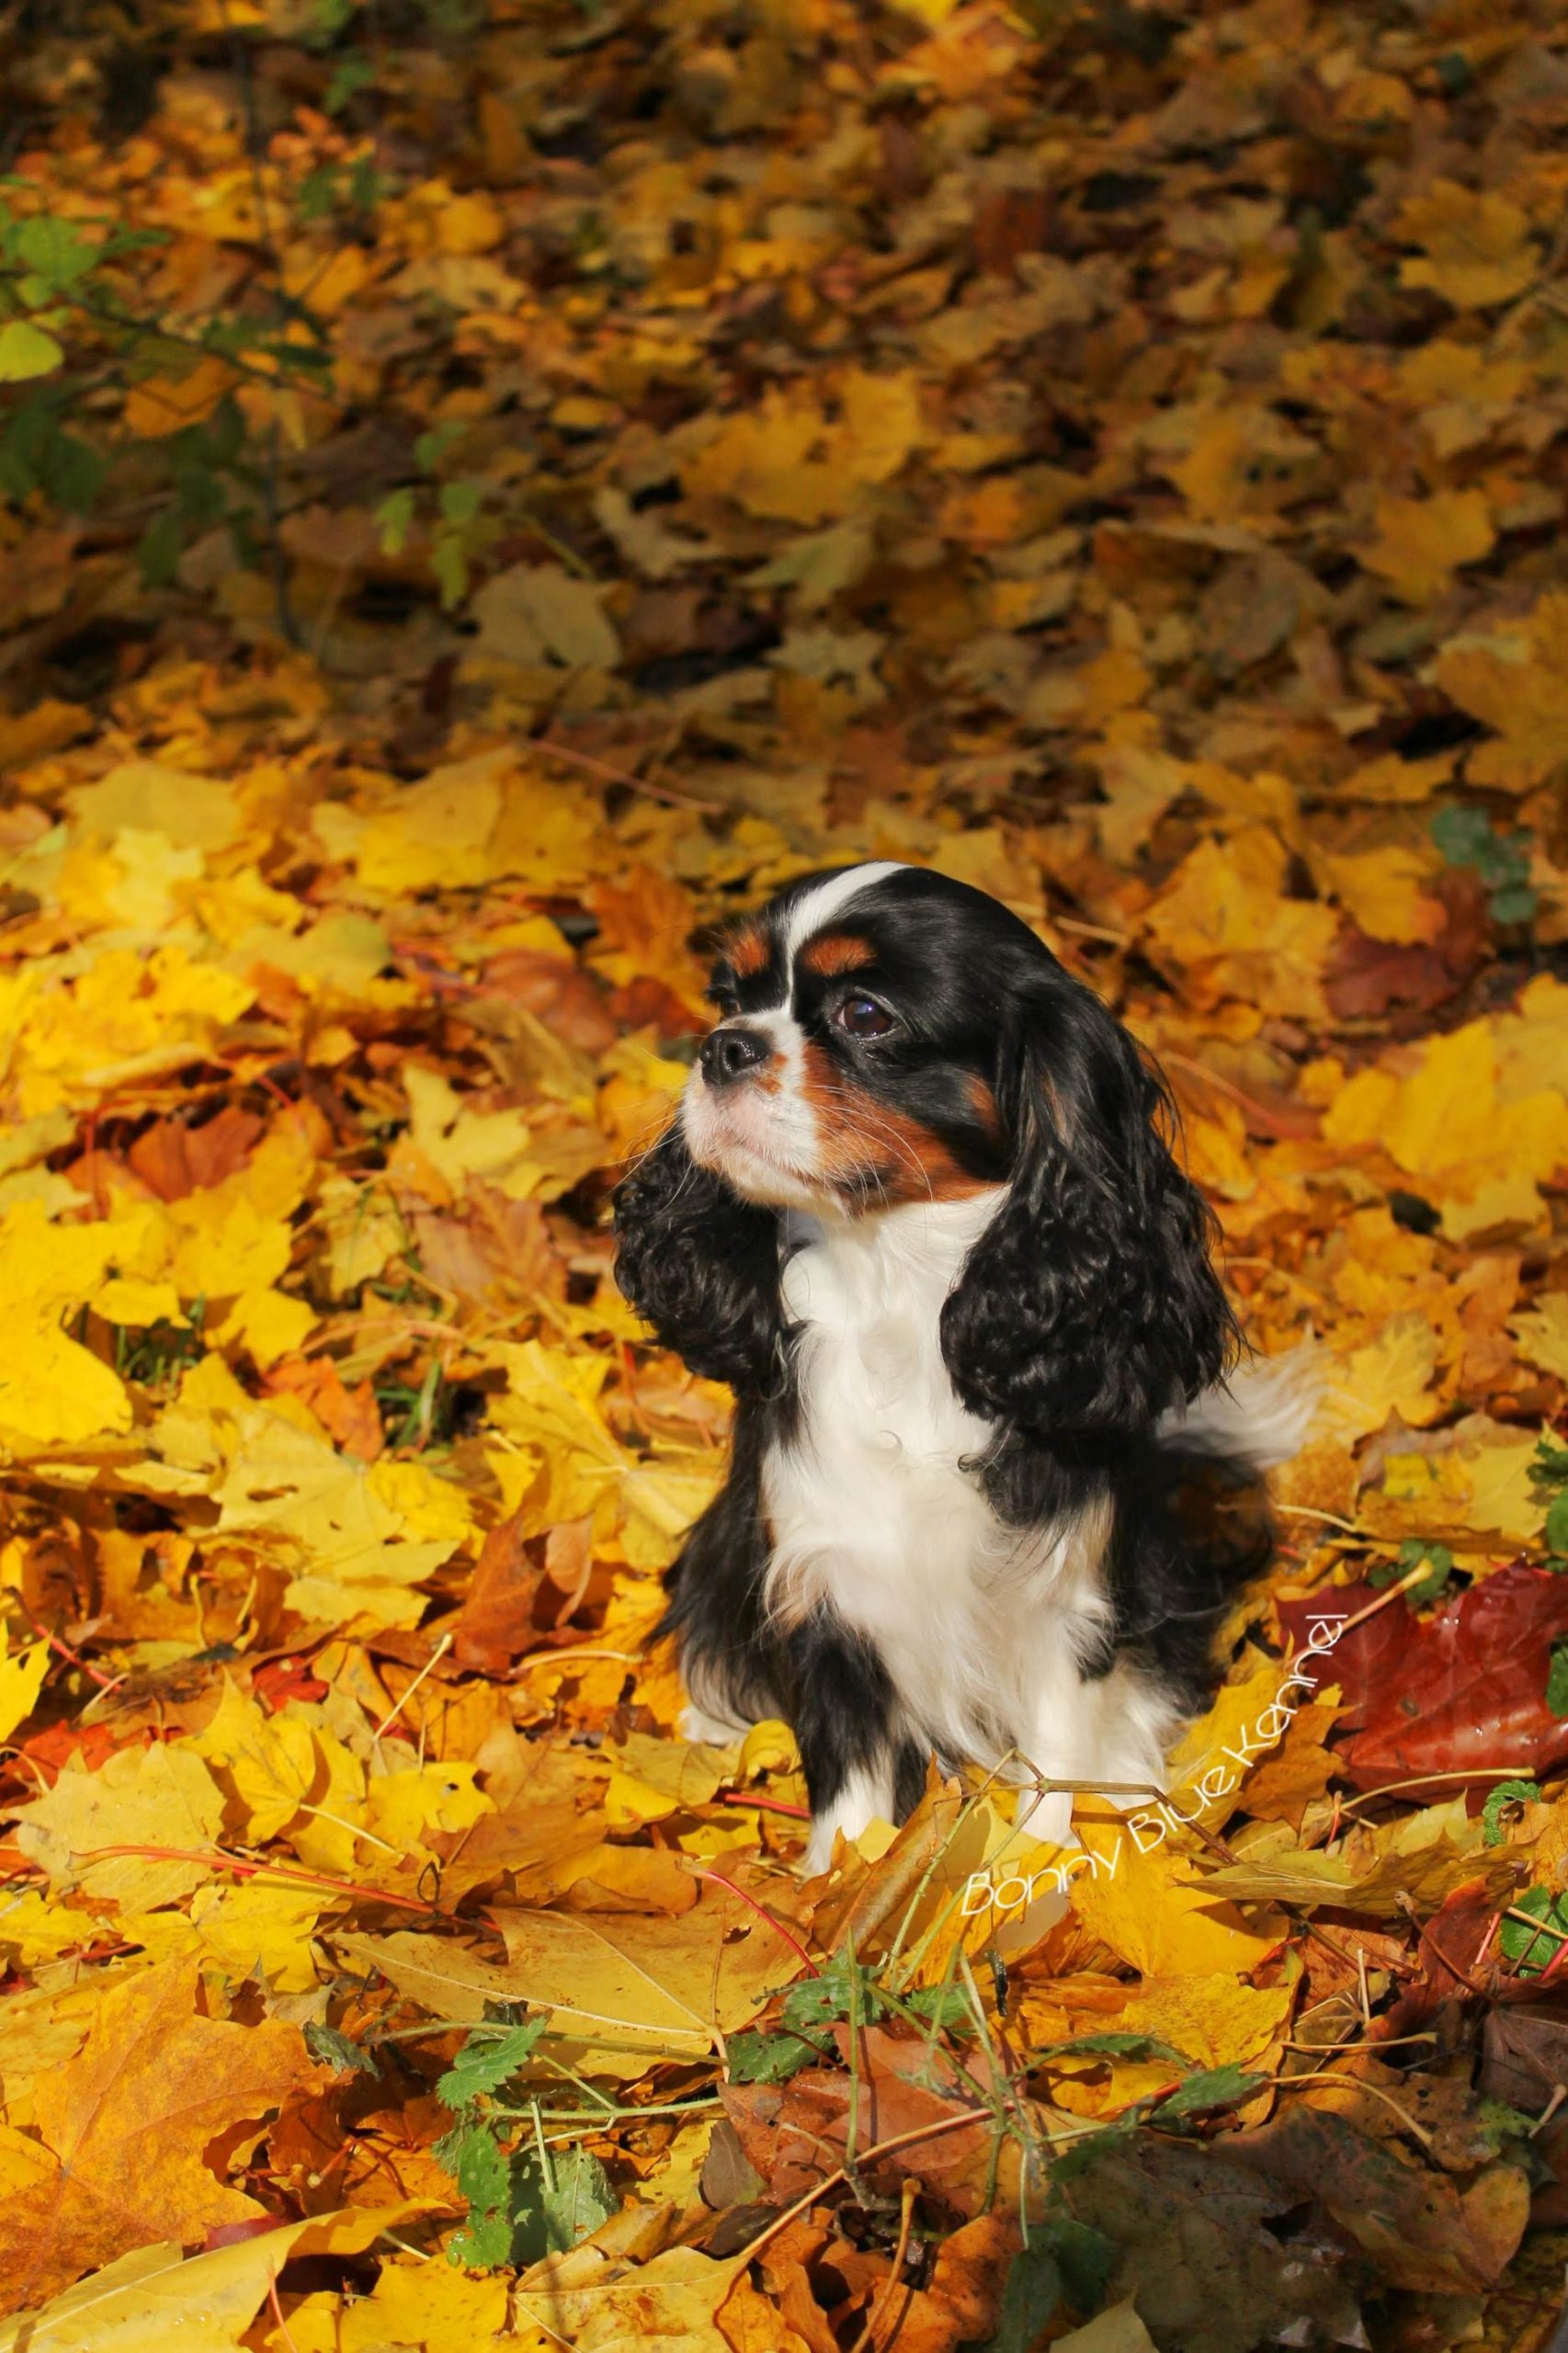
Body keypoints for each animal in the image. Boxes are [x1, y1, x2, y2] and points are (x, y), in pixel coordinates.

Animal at [612, 856, 1309, 1863]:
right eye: (730, 998)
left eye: (866, 1015)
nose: (723, 1047)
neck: (894, 1281)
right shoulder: (827, 1581)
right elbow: (851, 1774)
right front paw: (843, 1879)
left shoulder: (1067, 1595)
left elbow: (1059, 1753)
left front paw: (1037, 1872)